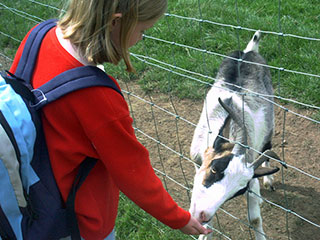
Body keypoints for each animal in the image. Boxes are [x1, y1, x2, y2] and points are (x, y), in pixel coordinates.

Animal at [190, 31, 280, 240]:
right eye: (215, 168)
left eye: (239, 191)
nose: (203, 214)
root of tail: (249, 51)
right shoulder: (198, 162)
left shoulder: (251, 180)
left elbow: (254, 219)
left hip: (270, 122)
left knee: (267, 146)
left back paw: (268, 181)